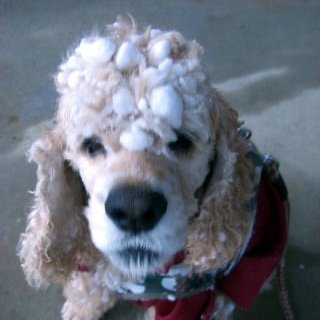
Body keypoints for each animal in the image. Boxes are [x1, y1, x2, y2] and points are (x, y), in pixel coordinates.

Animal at [18, 16, 288, 320]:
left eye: (181, 141)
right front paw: (81, 307)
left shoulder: (190, 303)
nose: (134, 210)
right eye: (91, 145)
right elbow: (89, 284)